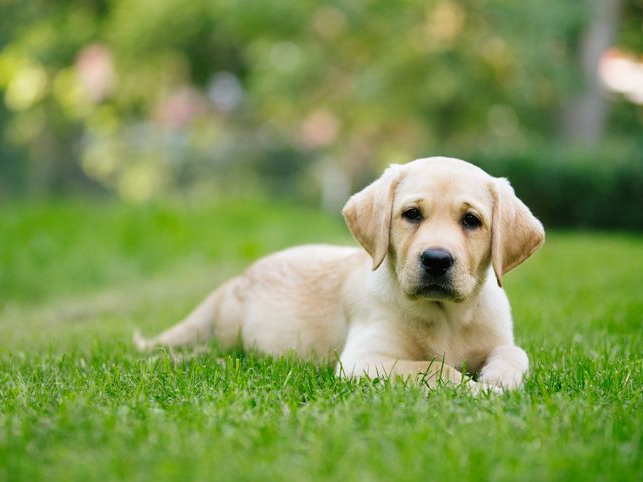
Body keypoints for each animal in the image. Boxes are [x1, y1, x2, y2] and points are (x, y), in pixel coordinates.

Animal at [135, 158, 544, 392]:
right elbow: (434, 369)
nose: (437, 259)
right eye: (411, 214)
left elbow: (515, 354)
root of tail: (235, 280)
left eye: (471, 220)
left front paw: (499, 379)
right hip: (227, 332)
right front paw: (473, 389)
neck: (448, 316)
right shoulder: (362, 360)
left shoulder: (499, 339)